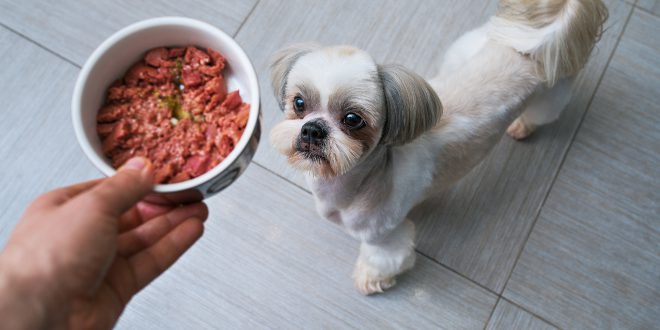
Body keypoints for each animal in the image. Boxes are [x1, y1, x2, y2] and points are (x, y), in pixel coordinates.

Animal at [270, 0, 608, 294]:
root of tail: (540, 40)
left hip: (551, 95)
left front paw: (369, 280)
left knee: (542, 114)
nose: (313, 129)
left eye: (353, 119)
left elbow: (383, 259)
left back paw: (523, 126)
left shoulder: (385, 237)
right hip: (468, 47)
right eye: (299, 102)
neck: (358, 182)